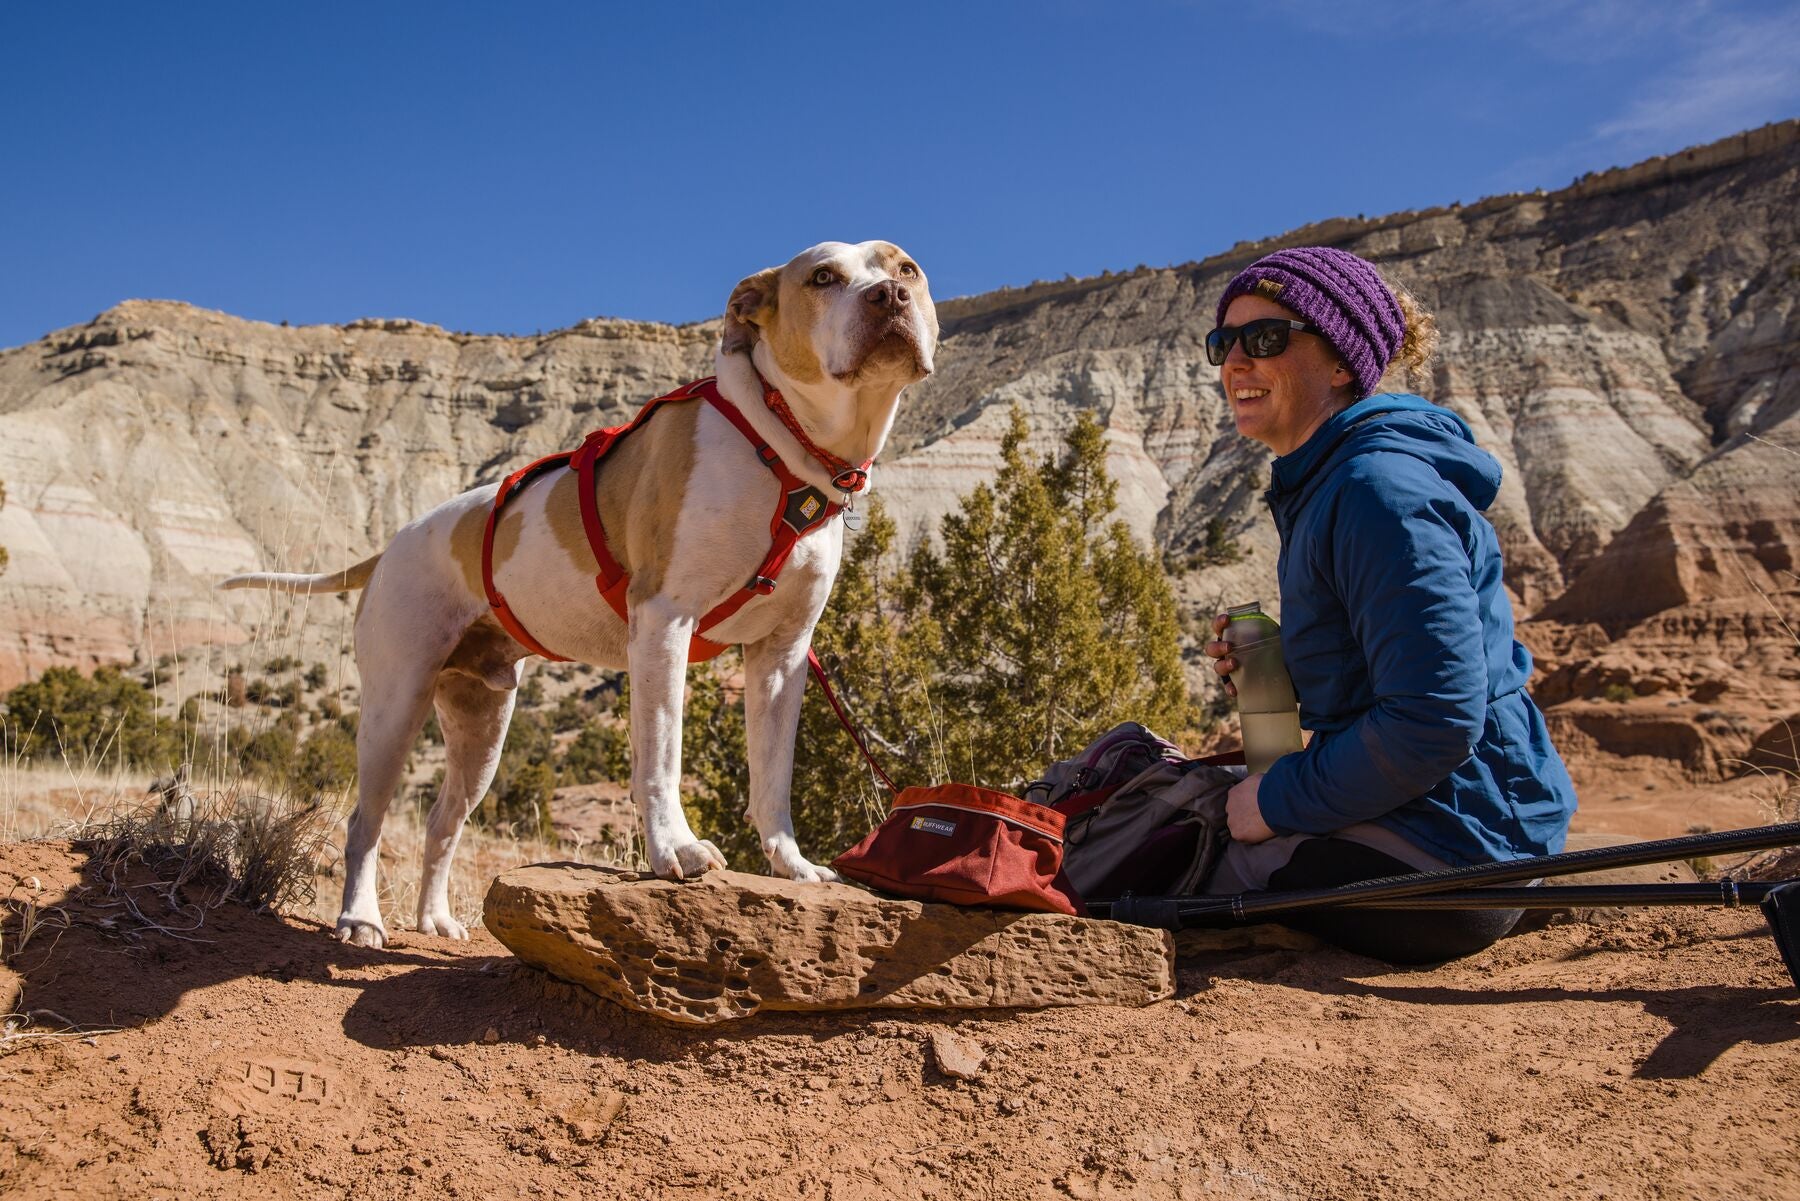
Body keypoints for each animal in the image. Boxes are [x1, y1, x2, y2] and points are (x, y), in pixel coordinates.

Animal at [221, 239, 943, 943]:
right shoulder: (664, 623)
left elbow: (772, 777)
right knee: (364, 822)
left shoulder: (782, 656)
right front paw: (676, 850)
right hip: (395, 704)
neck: (784, 447)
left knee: (442, 821)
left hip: (481, 725)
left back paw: (435, 919)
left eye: (907, 268)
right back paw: (360, 918)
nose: (889, 296)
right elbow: (662, 756)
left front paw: (790, 865)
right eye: (823, 277)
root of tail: (391, 543)